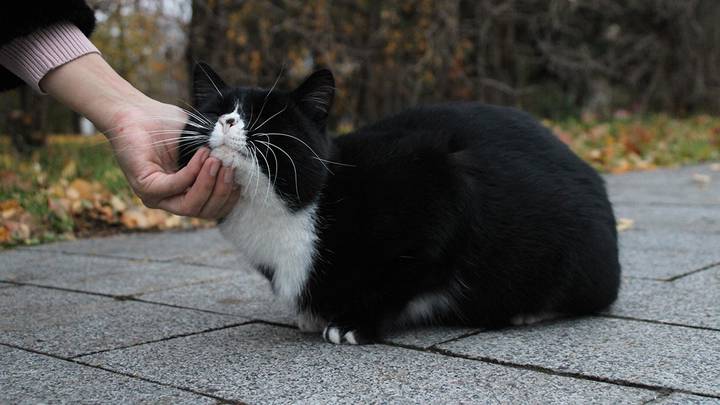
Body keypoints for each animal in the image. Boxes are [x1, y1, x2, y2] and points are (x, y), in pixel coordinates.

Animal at [179, 62, 620, 344]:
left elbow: (400, 279)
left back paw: (528, 311)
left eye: (268, 118)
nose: (228, 121)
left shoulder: (440, 188)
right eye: (216, 111)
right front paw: (313, 316)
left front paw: (353, 323)